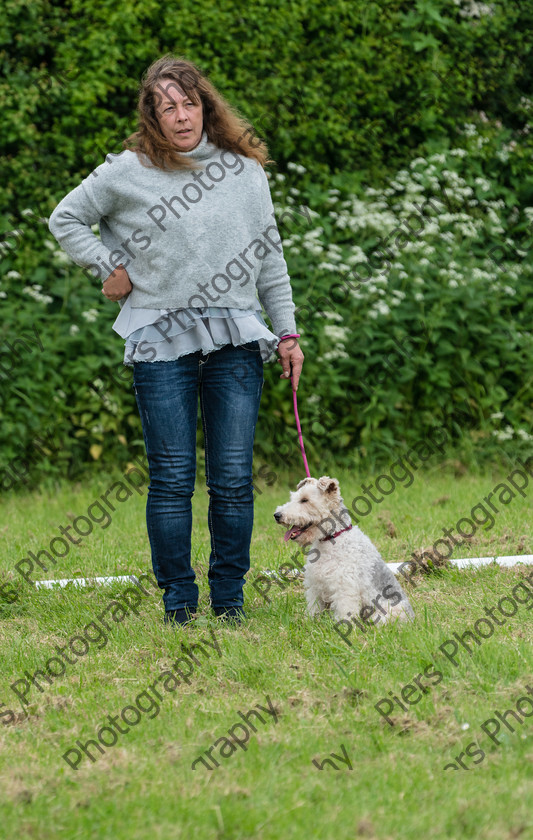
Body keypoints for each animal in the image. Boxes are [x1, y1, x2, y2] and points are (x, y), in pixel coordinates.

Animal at [272, 476, 414, 628]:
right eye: (293, 497)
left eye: (305, 500)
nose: (277, 515)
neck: (332, 538)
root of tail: (412, 618)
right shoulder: (315, 586)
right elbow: (314, 608)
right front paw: (310, 621)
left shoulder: (344, 587)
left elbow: (345, 611)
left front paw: (343, 626)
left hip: (383, 614)